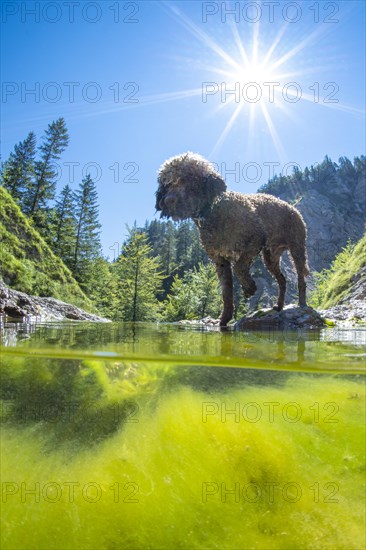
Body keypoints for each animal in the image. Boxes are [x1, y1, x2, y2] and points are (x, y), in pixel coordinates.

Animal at [156, 153, 310, 326]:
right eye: (166, 183)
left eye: (188, 179)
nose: (167, 200)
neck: (213, 213)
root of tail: (293, 208)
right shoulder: (220, 260)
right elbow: (227, 293)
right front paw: (224, 319)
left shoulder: (254, 239)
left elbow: (239, 267)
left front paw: (249, 288)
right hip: (270, 257)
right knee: (282, 280)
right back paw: (279, 306)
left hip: (297, 249)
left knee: (301, 279)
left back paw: (302, 304)